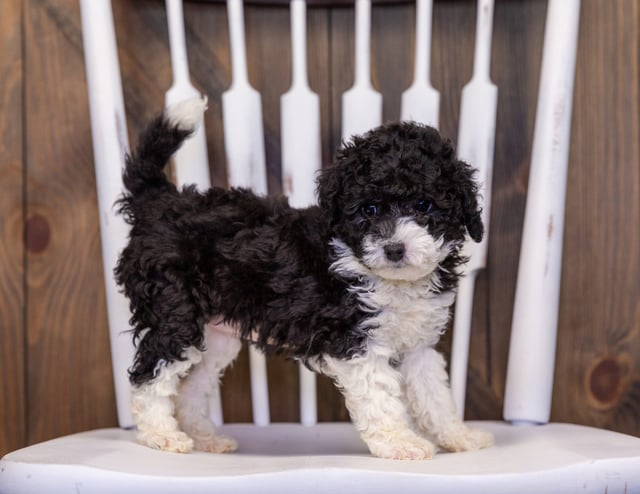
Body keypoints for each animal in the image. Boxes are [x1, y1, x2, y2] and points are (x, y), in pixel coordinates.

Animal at [116, 98, 496, 462]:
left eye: (423, 205)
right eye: (369, 209)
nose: (393, 249)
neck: (387, 280)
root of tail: (160, 200)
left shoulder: (418, 345)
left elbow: (435, 394)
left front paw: (459, 437)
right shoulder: (356, 341)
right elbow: (381, 399)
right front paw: (400, 443)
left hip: (216, 334)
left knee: (192, 385)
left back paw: (205, 438)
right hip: (176, 315)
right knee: (149, 373)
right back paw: (160, 435)